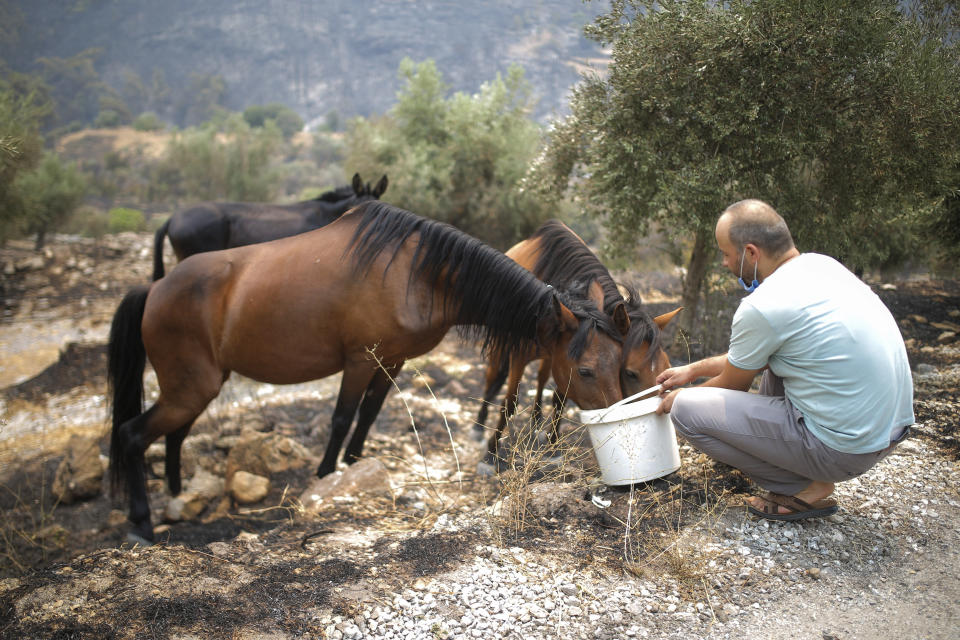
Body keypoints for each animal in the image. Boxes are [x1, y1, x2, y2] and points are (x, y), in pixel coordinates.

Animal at [109, 200, 628, 540]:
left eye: (621, 363)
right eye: (585, 370)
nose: (617, 426)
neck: (418, 272)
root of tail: (154, 289)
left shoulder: (392, 361)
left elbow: (368, 416)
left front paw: (355, 470)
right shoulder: (360, 361)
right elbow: (342, 419)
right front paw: (324, 477)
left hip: (197, 388)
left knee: (174, 435)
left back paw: (176, 498)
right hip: (189, 389)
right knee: (133, 435)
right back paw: (140, 524)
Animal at [476, 222, 680, 452]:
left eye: (666, 367)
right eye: (630, 373)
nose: (658, 413)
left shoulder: (567, 358)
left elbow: (560, 398)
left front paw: (553, 442)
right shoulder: (520, 356)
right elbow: (510, 402)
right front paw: (492, 450)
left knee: (541, 378)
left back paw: (536, 418)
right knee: (491, 377)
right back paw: (480, 424)